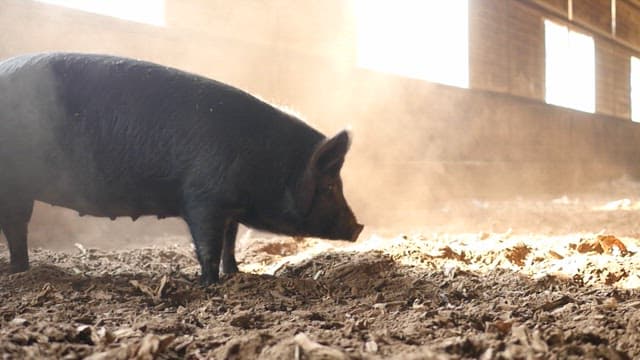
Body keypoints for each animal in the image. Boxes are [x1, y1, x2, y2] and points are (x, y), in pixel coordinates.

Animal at [0, 52, 362, 284]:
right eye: (330, 186)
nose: (358, 227)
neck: (268, 163)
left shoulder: (229, 207)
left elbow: (230, 241)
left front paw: (236, 273)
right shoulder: (203, 198)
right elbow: (208, 244)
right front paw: (210, 284)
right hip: (14, 184)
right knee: (16, 226)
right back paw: (16, 271)